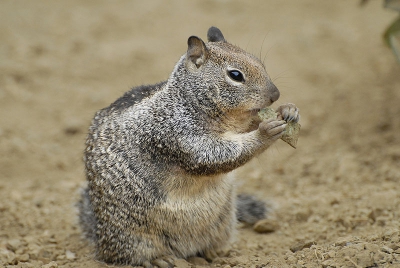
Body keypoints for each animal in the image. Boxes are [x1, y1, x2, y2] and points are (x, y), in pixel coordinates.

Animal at [77, 27, 300, 268]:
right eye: (235, 75)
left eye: (259, 62)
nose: (275, 95)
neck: (186, 100)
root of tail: (100, 237)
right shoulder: (174, 134)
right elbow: (212, 156)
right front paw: (265, 131)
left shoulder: (238, 122)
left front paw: (288, 110)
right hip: (133, 237)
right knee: (128, 257)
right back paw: (159, 259)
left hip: (223, 224)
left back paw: (218, 253)